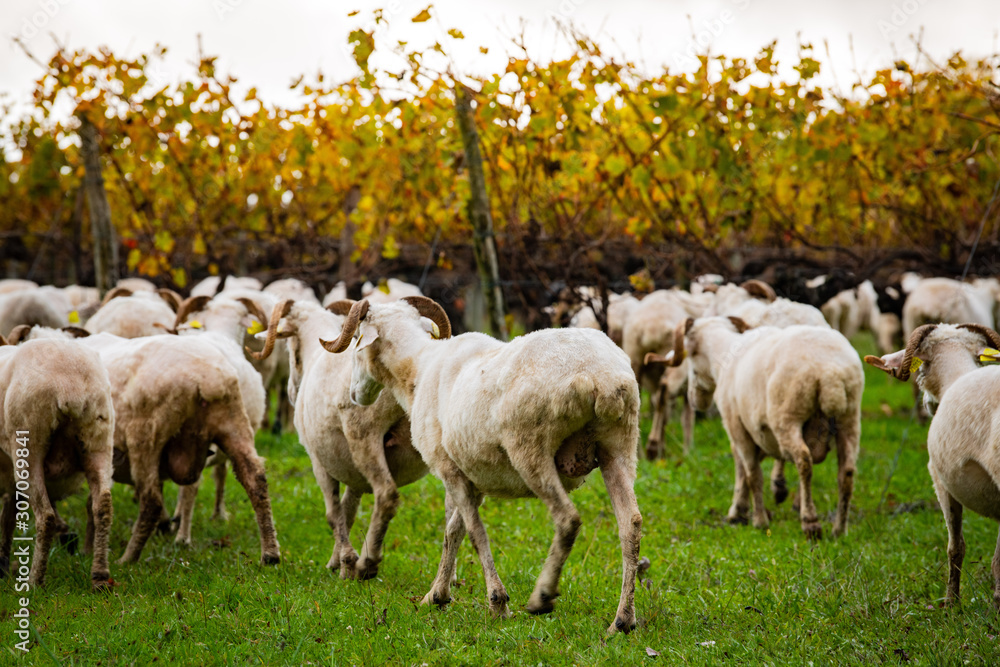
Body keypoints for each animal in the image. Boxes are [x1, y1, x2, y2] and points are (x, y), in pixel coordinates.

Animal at [0, 336, 115, 589]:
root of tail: (70, 385)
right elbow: (8, 518)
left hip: (28, 445)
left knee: (46, 516)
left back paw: (34, 581)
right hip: (99, 442)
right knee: (103, 505)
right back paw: (100, 576)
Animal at [251, 298, 429, 579]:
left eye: (289, 347)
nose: (290, 393)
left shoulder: (318, 460)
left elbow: (333, 513)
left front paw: (347, 562)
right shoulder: (352, 473)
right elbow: (348, 510)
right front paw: (338, 563)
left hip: (364, 436)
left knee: (386, 495)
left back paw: (368, 563)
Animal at [322, 297, 643, 634]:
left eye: (357, 343)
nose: (354, 395)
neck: (417, 370)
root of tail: (601, 377)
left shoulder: (448, 469)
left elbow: (476, 534)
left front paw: (497, 603)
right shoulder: (472, 477)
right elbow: (454, 531)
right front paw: (436, 595)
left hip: (530, 449)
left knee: (568, 518)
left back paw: (542, 597)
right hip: (619, 444)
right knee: (630, 525)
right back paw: (623, 620)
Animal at [650, 316, 863, 538]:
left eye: (689, 358)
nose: (694, 401)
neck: (723, 356)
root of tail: (830, 374)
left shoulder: (736, 424)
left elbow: (752, 474)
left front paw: (759, 520)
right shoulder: (756, 432)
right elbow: (743, 469)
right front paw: (739, 511)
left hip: (787, 418)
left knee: (804, 461)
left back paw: (810, 522)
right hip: (849, 419)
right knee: (847, 472)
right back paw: (839, 529)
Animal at [866, 323, 1000, 608]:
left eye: (922, 368)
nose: (926, 405)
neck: (956, 376)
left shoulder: (940, 480)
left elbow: (956, 547)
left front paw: (951, 602)